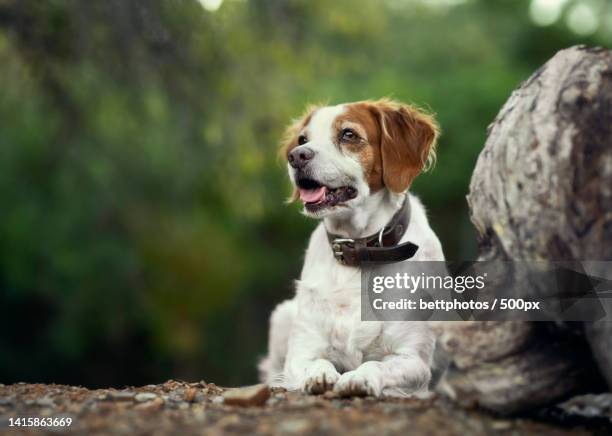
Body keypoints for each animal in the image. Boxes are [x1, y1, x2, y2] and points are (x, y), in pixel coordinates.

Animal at [258, 99, 444, 398]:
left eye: (348, 134)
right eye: (302, 139)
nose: (297, 156)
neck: (357, 251)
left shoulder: (413, 360)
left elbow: (376, 364)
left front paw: (359, 378)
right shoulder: (300, 354)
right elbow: (317, 361)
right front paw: (321, 375)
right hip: (282, 316)